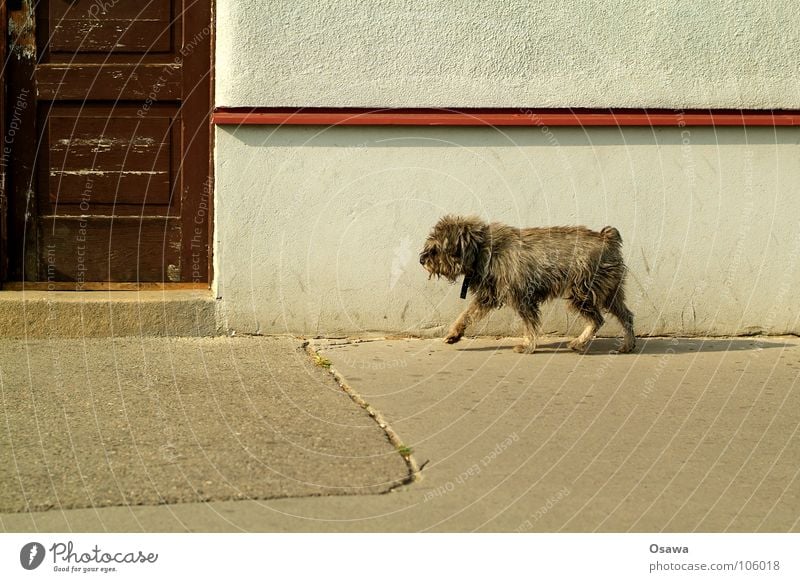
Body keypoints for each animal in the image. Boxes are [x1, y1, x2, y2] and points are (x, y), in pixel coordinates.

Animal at [418, 216, 636, 356]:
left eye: (435, 249)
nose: (422, 260)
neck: (482, 249)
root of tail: (607, 238)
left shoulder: (522, 298)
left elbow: (529, 325)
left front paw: (528, 345)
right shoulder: (488, 296)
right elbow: (467, 314)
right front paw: (454, 333)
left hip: (581, 292)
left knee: (597, 319)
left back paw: (578, 343)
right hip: (610, 293)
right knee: (626, 317)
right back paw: (628, 345)